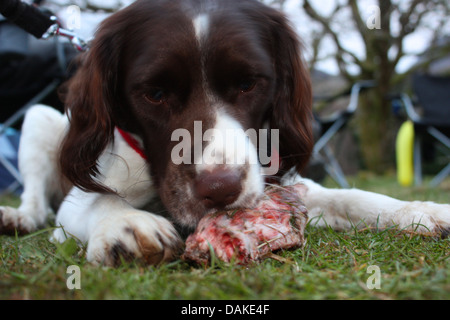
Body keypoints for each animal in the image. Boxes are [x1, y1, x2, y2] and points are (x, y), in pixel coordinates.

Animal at [0, 0, 448, 264]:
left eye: (249, 84)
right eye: (155, 93)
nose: (220, 189)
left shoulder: (279, 184)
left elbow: (352, 197)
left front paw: (422, 210)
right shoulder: (82, 195)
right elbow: (98, 203)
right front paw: (125, 225)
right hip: (39, 118)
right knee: (37, 200)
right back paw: (17, 217)